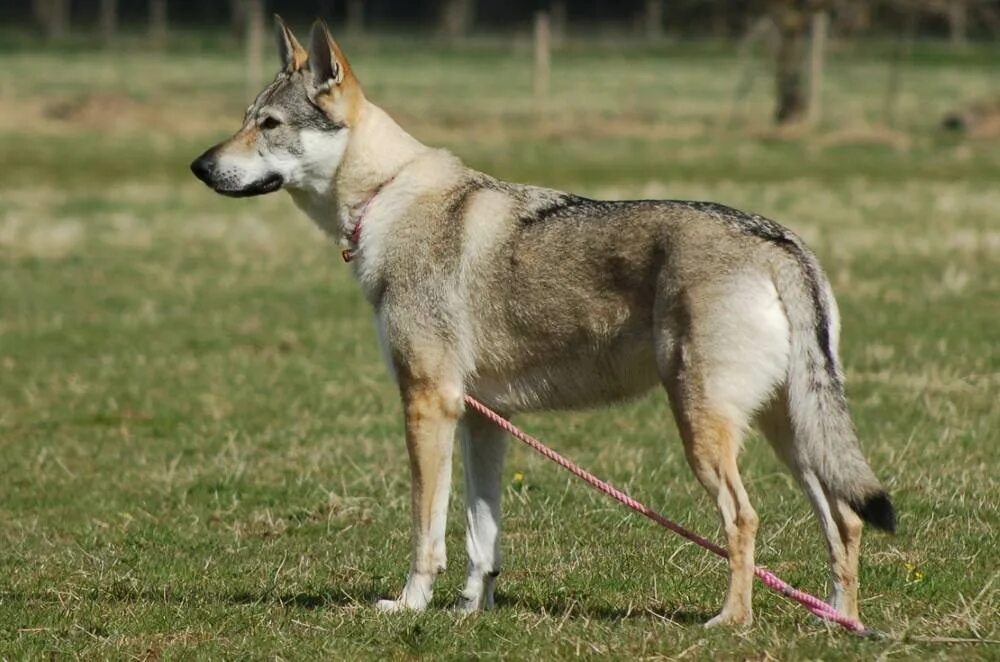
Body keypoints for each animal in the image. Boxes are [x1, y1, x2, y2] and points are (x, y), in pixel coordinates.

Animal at [191, 16, 896, 628]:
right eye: (244, 120)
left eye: (269, 124)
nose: (198, 166)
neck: (385, 198)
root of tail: (780, 243)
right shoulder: (482, 419)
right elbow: (481, 539)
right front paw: (470, 612)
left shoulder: (427, 404)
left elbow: (427, 530)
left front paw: (409, 605)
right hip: (790, 434)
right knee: (846, 520)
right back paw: (840, 621)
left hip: (706, 428)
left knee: (745, 520)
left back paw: (732, 622)